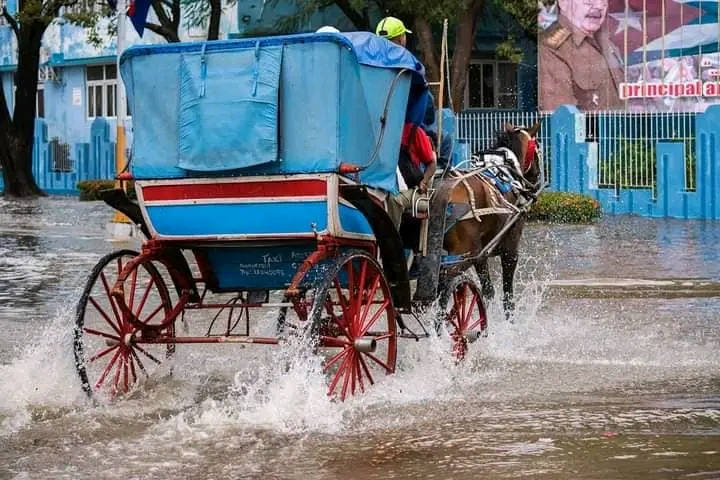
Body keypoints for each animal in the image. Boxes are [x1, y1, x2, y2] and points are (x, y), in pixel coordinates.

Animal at [442, 122, 544, 320]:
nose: (535, 181)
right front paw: (509, 322)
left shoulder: (480, 255)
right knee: (444, 288)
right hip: (461, 255)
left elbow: (488, 292)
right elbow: (508, 298)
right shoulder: (510, 251)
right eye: (536, 150)